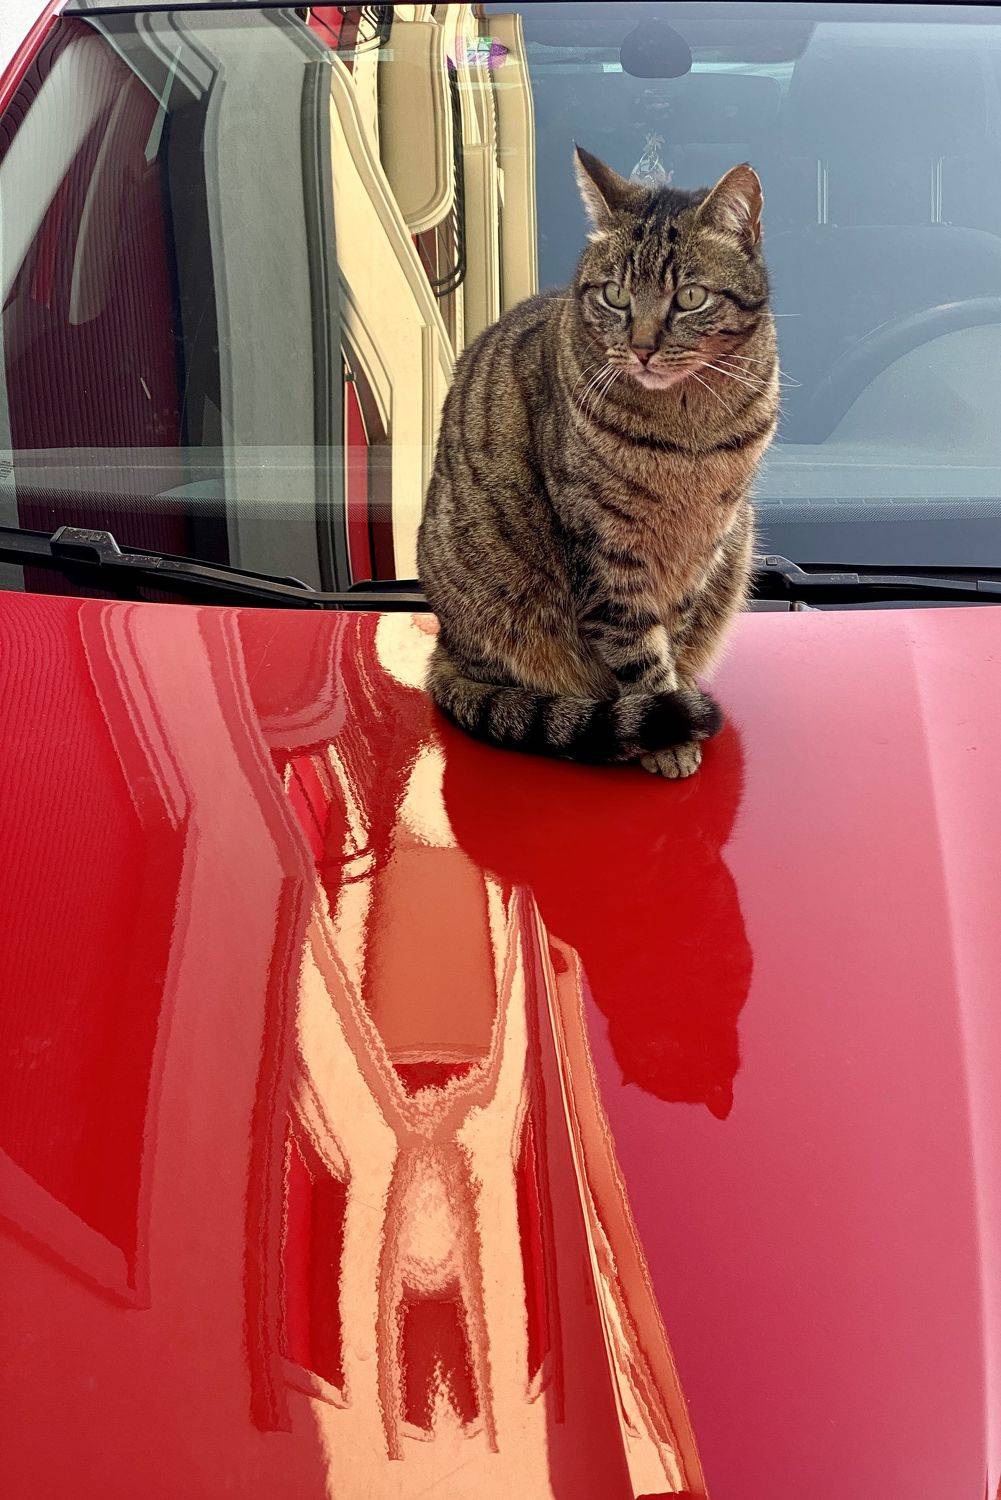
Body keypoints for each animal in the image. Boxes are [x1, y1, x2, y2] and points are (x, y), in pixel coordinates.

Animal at [417, 147, 778, 778]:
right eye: (614, 295)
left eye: (690, 298)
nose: (641, 347)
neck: (688, 429)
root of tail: (444, 645)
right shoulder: (606, 550)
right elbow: (639, 652)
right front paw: (667, 731)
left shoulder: (702, 547)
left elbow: (674, 635)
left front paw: (676, 705)